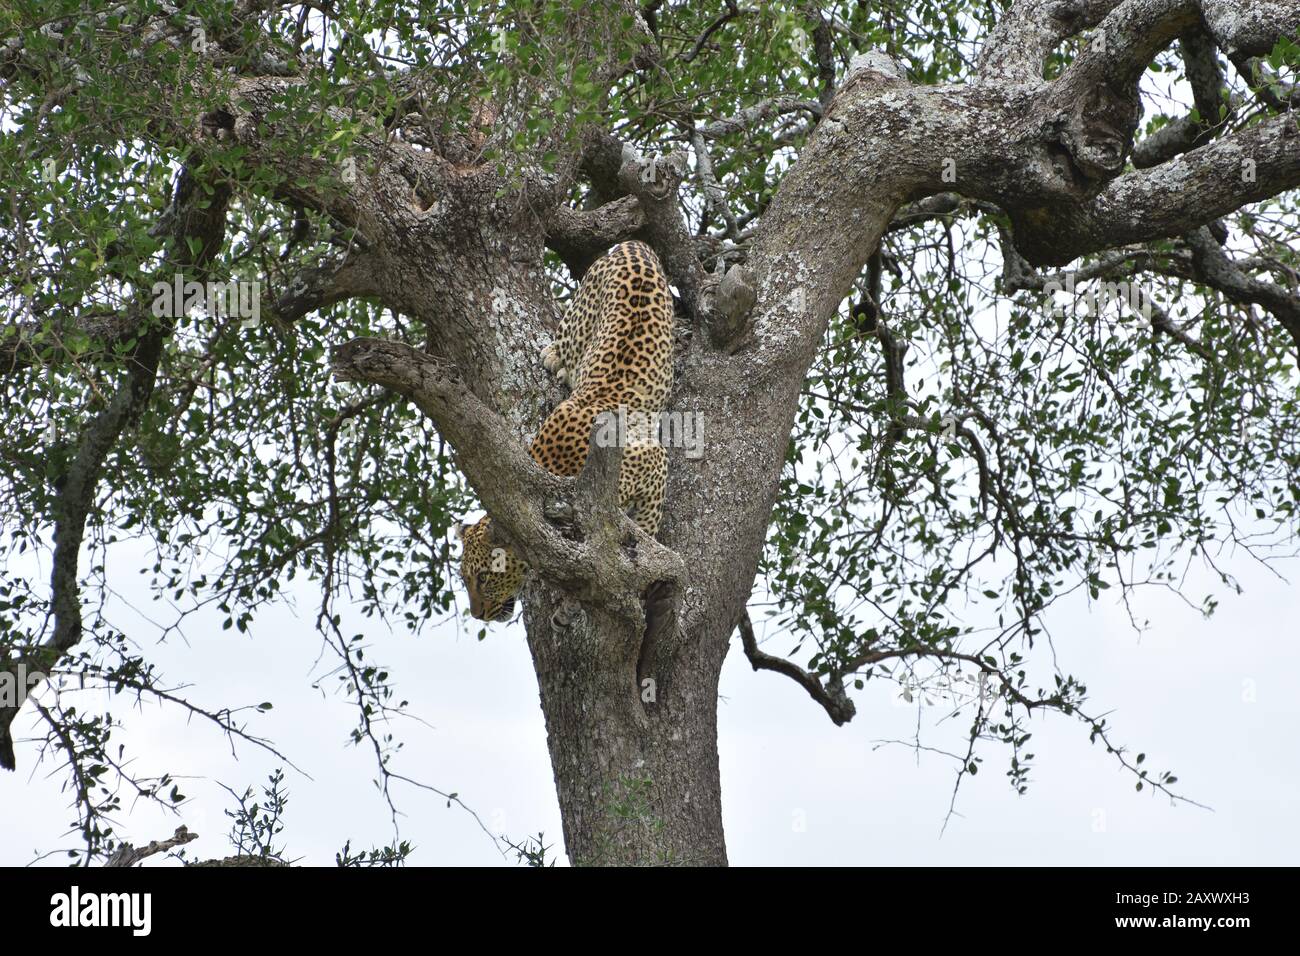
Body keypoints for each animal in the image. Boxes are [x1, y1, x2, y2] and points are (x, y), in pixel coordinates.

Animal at [457, 240, 676, 621]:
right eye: (464, 579)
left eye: (484, 577)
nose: (477, 614)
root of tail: (632, 247)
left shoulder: (652, 459)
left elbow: (646, 526)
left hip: (581, 314)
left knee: (563, 339)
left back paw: (554, 358)